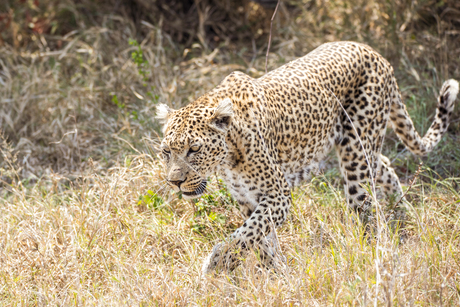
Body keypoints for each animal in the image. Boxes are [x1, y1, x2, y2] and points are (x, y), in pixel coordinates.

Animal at [156, 41, 458, 274]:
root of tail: (375, 53)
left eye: (194, 149)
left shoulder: (277, 195)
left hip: (356, 153)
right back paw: (403, 216)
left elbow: (246, 234)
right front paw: (275, 274)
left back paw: (375, 251)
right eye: (166, 151)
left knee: (365, 203)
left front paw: (217, 263)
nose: (174, 182)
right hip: (363, 151)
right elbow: (259, 239)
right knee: (384, 165)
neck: (228, 156)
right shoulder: (247, 199)